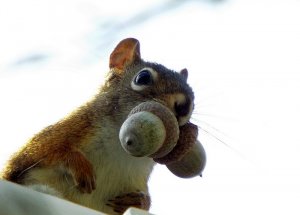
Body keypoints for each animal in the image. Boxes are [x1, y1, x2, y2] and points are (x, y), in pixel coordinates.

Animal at [0, 37, 195, 214]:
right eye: (143, 78)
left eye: (193, 95)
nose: (185, 105)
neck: (121, 148)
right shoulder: (66, 131)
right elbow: (49, 150)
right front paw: (79, 165)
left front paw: (140, 200)